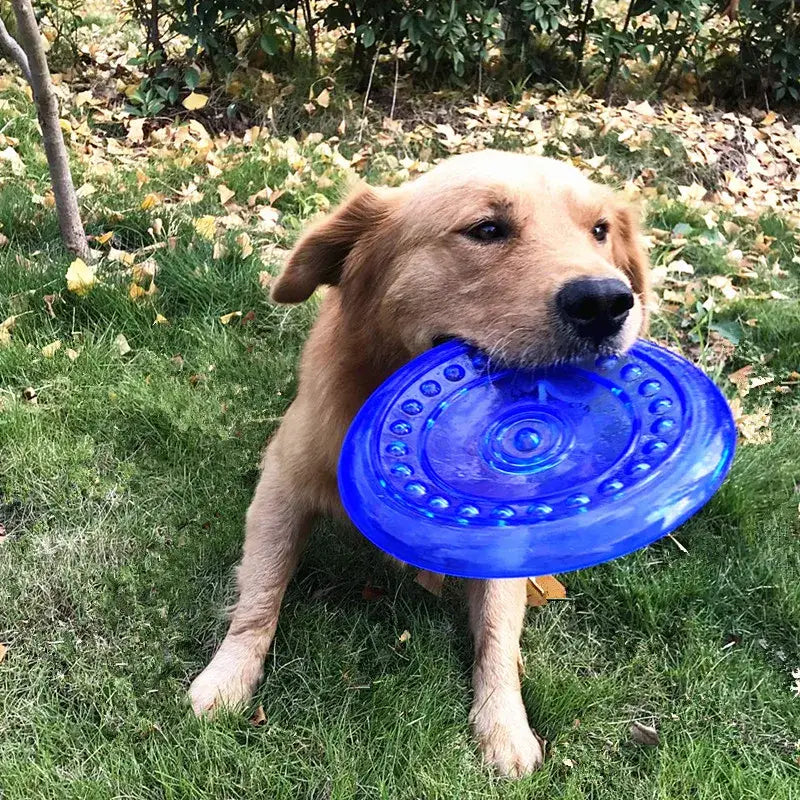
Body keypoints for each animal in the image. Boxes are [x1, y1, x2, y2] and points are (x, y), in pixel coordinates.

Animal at [189, 148, 648, 776]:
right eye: (487, 229)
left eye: (599, 230)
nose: (607, 302)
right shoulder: (281, 482)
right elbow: (261, 591)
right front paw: (229, 675)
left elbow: (498, 632)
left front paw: (504, 724)